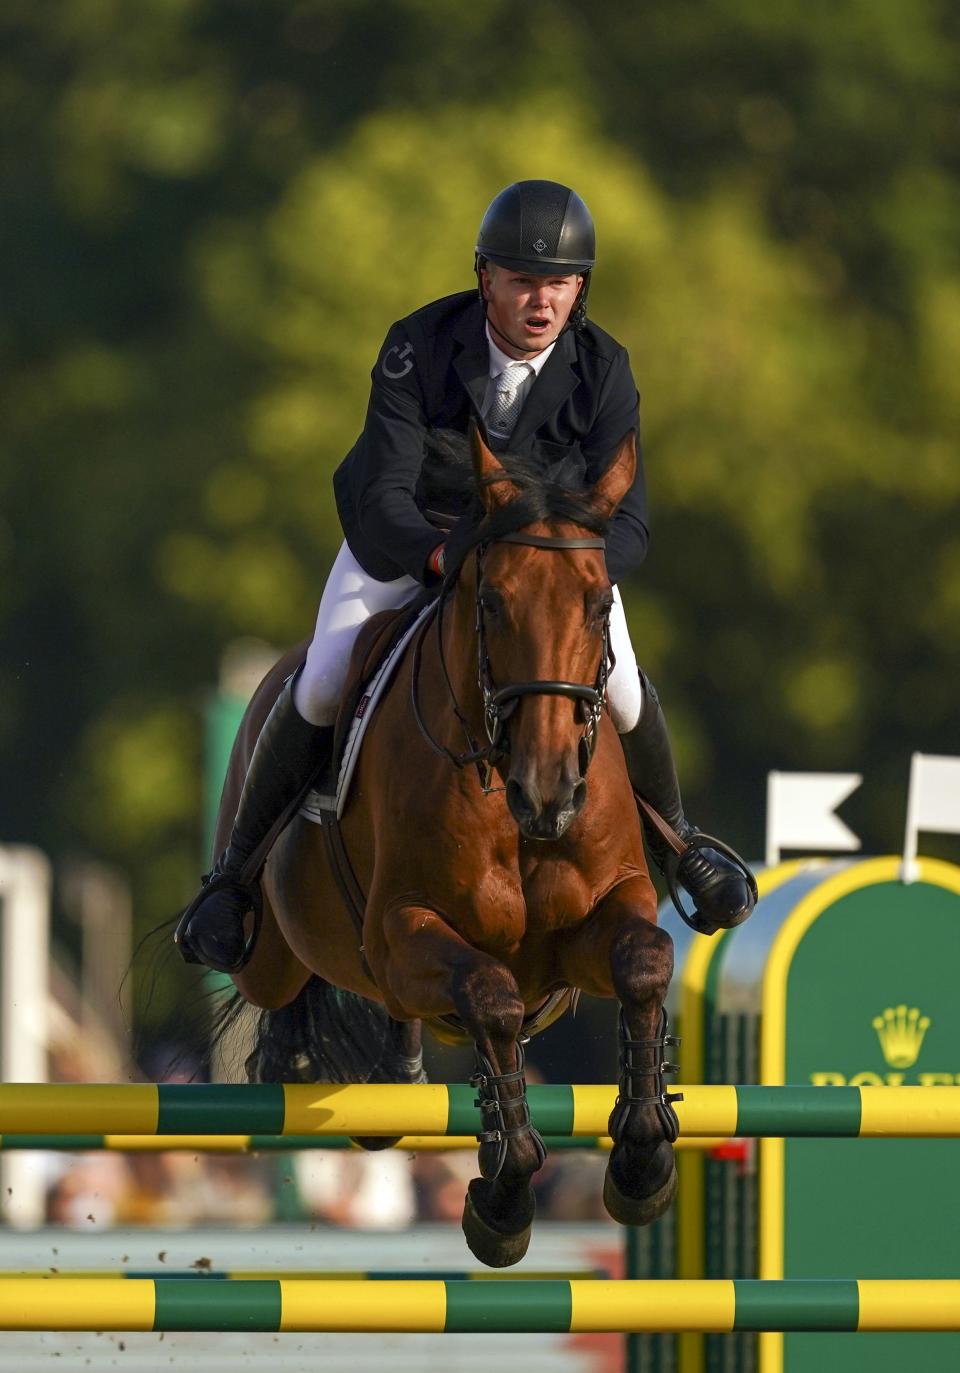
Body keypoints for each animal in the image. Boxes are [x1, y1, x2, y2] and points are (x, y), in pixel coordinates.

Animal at [219, 425, 683, 1263]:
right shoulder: (405, 933)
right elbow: (491, 998)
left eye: (599, 603)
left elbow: (645, 961)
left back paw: (392, 1076)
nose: (548, 790)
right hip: (266, 953)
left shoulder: (597, 924)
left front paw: (640, 1160)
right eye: (492, 602)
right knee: (274, 976)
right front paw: (504, 1197)